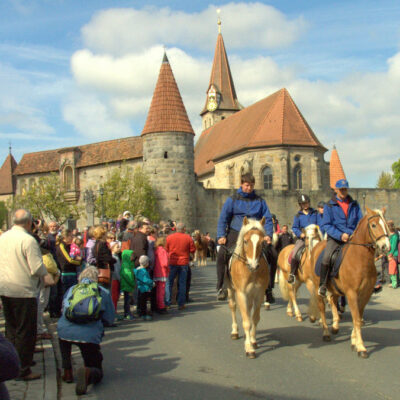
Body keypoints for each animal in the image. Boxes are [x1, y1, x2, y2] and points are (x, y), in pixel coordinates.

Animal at [227, 217, 270, 358]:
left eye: (263, 242)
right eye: (245, 241)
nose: (253, 265)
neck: (251, 272)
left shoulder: (259, 294)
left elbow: (254, 319)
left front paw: (253, 340)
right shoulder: (242, 294)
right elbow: (246, 321)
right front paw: (249, 348)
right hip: (230, 289)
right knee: (233, 307)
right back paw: (234, 331)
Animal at [304, 208, 390, 358]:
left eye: (385, 224)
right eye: (373, 225)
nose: (386, 246)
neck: (360, 259)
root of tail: (317, 246)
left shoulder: (365, 294)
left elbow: (359, 318)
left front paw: (354, 341)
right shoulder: (351, 294)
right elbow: (356, 319)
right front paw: (361, 347)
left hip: (335, 288)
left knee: (333, 301)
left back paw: (335, 326)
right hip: (318, 288)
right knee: (322, 307)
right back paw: (326, 332)